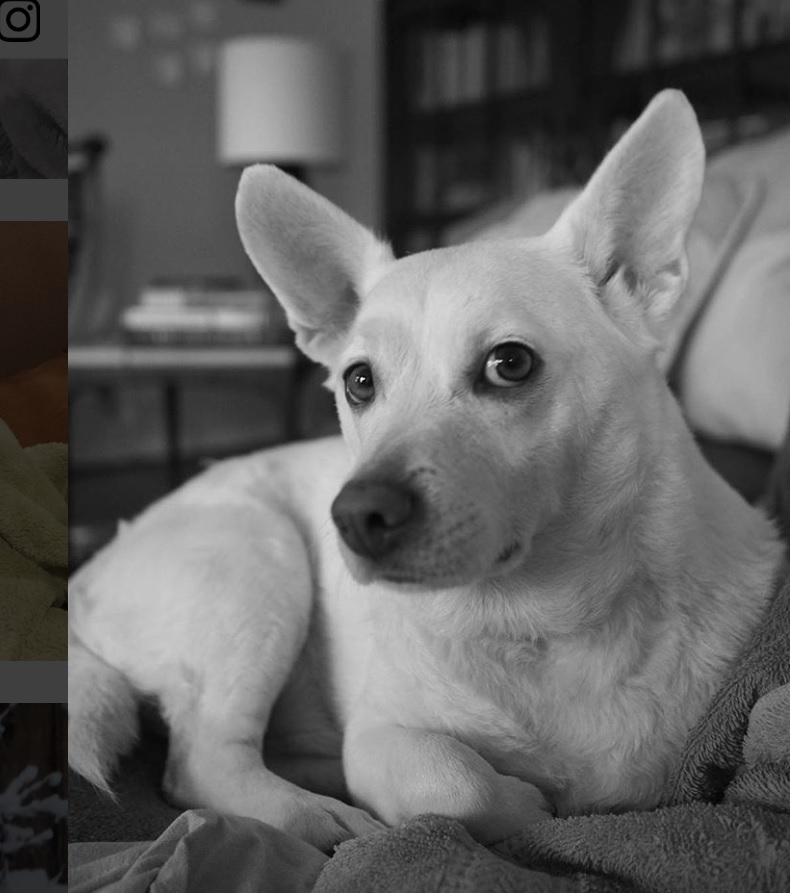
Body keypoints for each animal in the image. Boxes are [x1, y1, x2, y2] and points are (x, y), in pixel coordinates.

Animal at [69, 92, 784, 852]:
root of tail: (87, 577)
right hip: (255, 569)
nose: (355, 517)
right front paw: (523, 800)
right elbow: (459, 782)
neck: (541, 620)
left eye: (510, 363)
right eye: (358, 381)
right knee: (203, 762)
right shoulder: (386, 735)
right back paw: (317, 814)